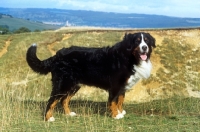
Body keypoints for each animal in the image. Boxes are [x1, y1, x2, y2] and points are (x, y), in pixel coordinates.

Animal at [25, 32, 155, 121]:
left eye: (146, 41)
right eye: (137, 41)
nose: (144, 47)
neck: (128, 57)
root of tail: (57, 56)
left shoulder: (122, 87)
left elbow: (120, 101)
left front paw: (120, 112)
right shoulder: (115, 86)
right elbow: (113, 102)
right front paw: (116, 115)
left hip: (74, 85)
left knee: (64, 100)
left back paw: (68, 114)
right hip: (63, 84)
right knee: (51, 101)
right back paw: (48, 118)